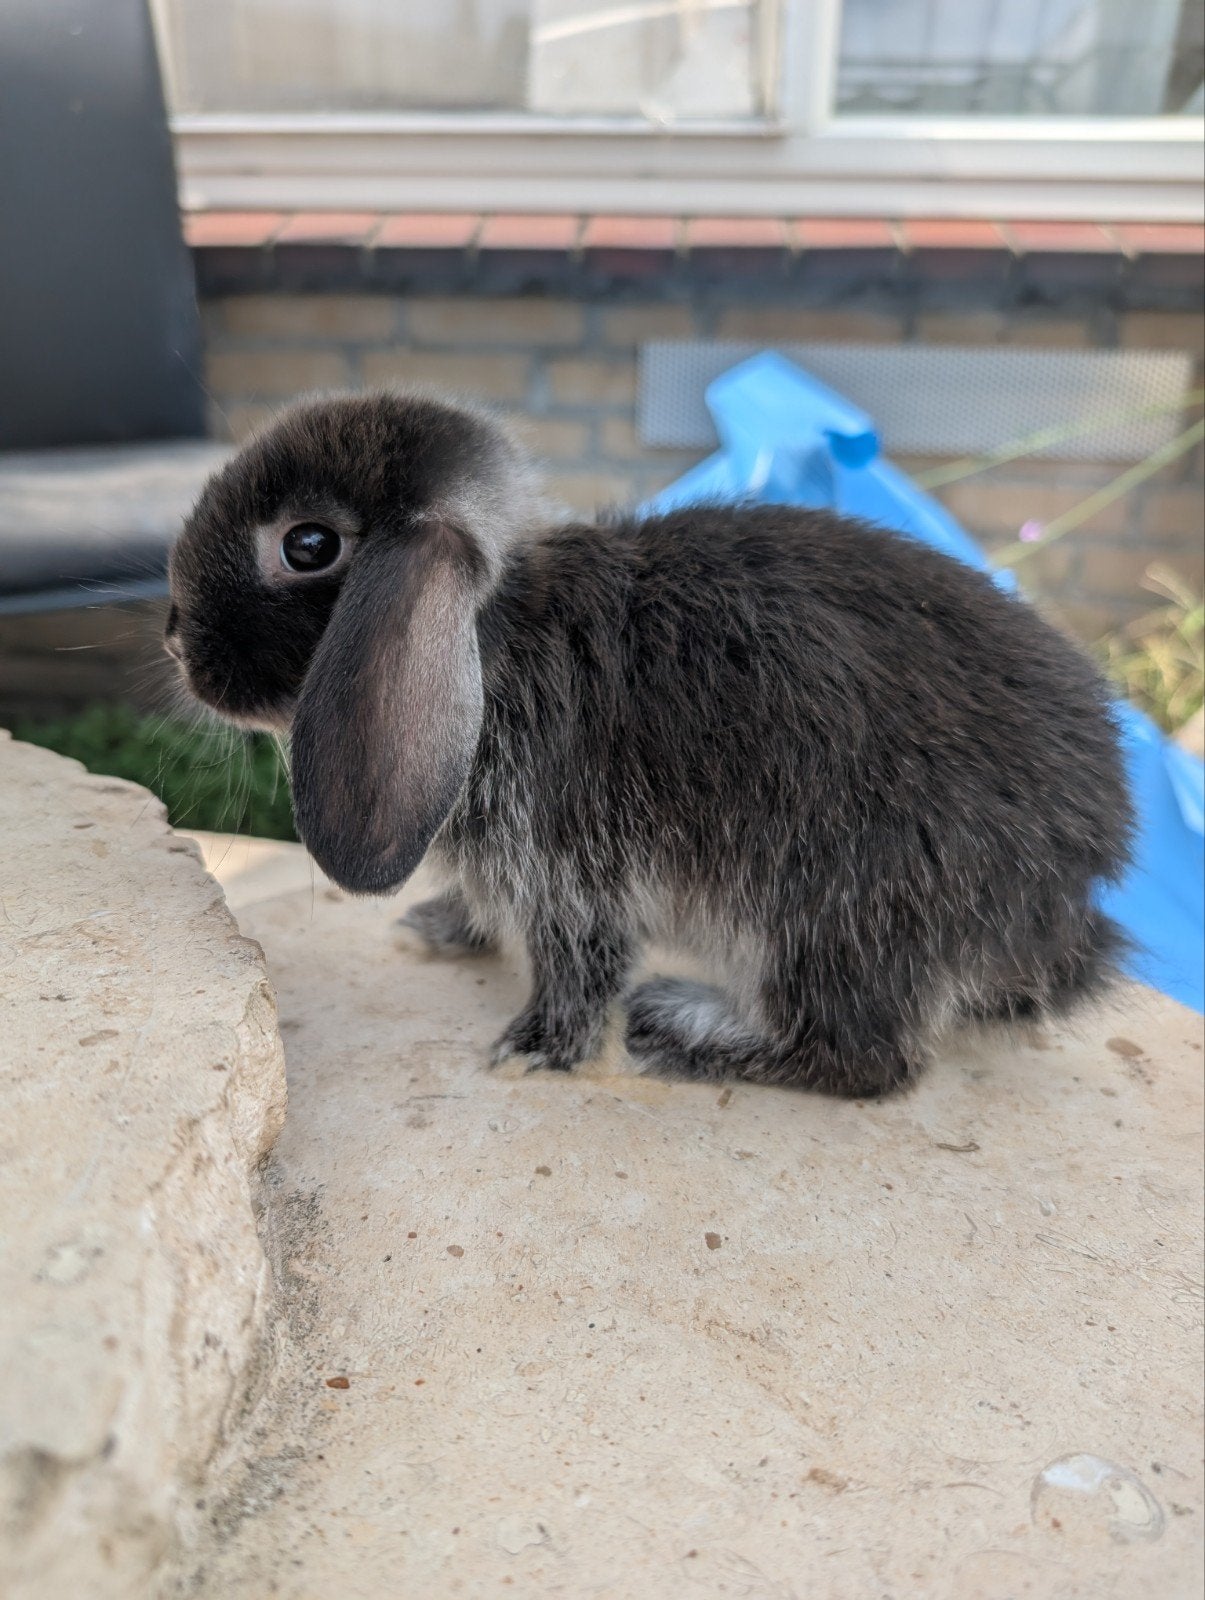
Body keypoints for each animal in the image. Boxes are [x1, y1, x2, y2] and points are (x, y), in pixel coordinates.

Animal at [167, 389, 1133, 1097]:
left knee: (859, 1058)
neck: (493, 640)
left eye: (308, 545)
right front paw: (441, 927)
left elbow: (577, 966)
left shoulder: (570, 868)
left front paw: (534, 1047)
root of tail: (1075, 878)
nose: (177, 640)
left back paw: (677, 1029)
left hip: (836, 911)